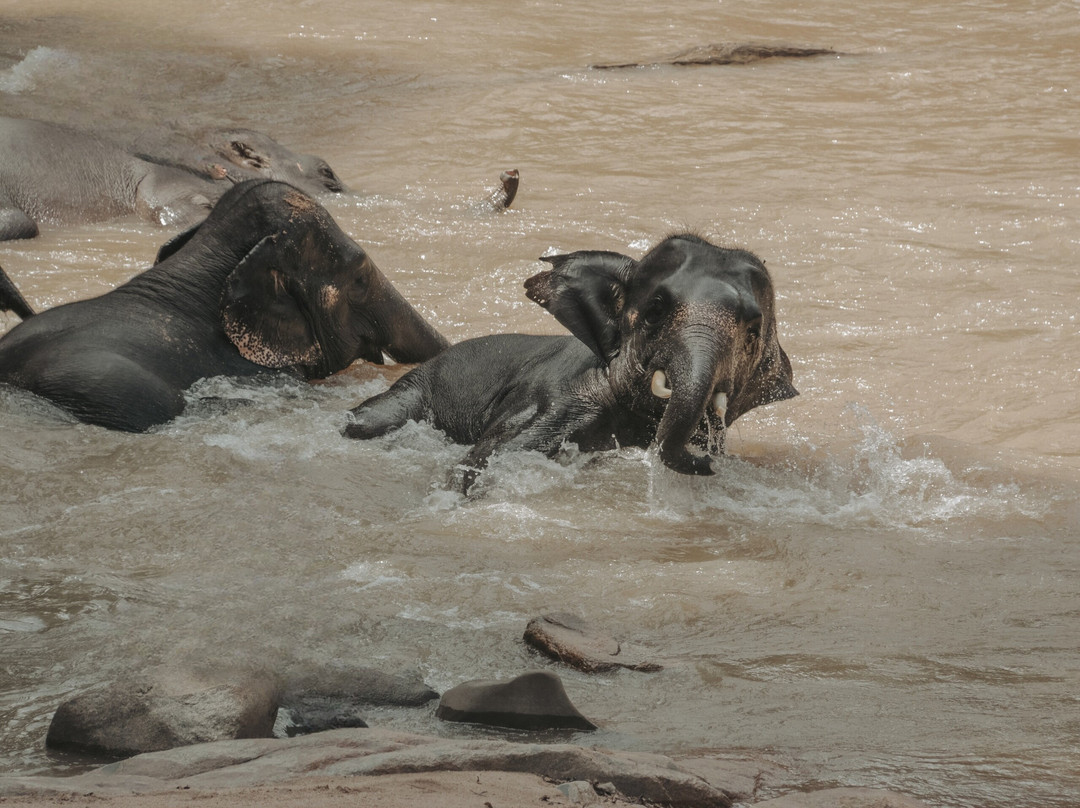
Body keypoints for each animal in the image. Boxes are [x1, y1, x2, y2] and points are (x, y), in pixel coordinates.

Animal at [344, 234, 797, 491]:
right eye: (655, 311)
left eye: (753, 330)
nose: (707, 462)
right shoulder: (555, 405)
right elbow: (484, 458)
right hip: (416, 387)